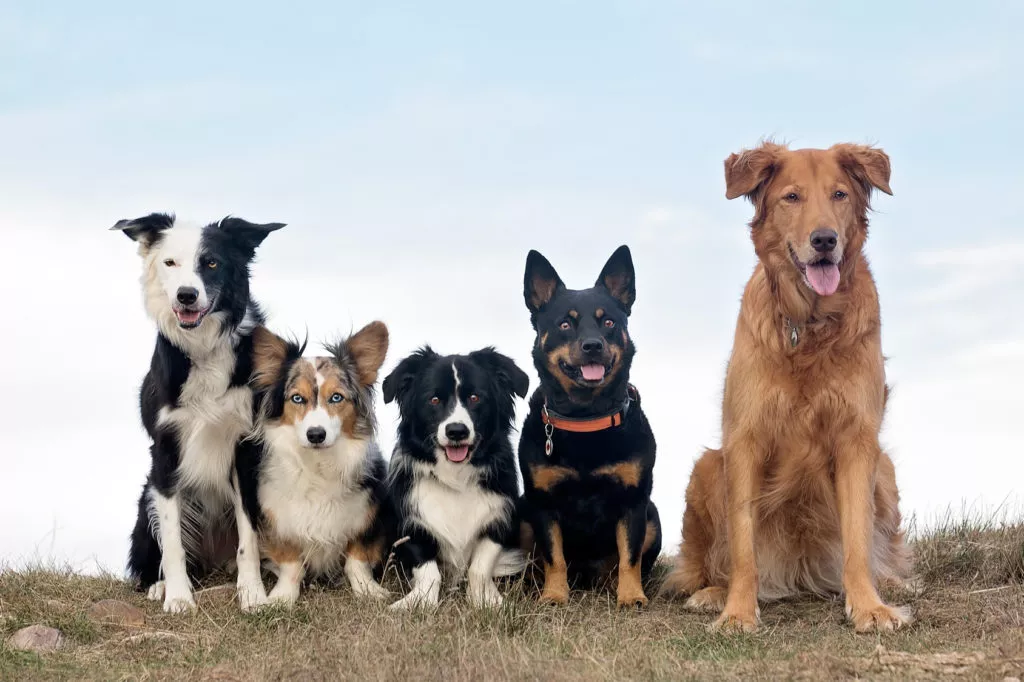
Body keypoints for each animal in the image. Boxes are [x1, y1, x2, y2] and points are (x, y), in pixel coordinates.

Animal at [116, 210, 284, 610]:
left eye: (211, 263)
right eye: (170, 263)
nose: (186, 295)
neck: (204, 347)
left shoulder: (244, 448)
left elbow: (248, 536)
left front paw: (252, 593)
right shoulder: (165, 450)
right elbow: (173, 541)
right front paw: (178, 598)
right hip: (147, 498)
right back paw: (160, 585)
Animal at [241, 321, 393, 602]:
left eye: (336, 397)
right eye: (297, 398)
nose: (316, 434)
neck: (318, 463)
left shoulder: (368, 517)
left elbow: (356, 560)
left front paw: (368, 590)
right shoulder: (279, 521)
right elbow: (291, 564)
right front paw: (281, 598)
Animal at [382, 346, 528, 606]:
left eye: (475, 398)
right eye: (434, 399)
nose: (457, 431)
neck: (456, 477)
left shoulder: (498, 518)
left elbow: (480, 566)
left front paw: (486, 601)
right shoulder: (413, 522)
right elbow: (428, 570)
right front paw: (419, 603)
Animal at [520, 244, 663, 606]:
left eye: (609, 321)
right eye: (565, 324)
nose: (593, 345)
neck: (585, 419)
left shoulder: (633, 501)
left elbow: (630, 555)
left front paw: (631, 596)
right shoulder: (543, 503)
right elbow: (553, 555)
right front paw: (554, 595)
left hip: (653, 515)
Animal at [663, 139, 913, 630]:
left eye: (839, 195)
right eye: (791, 197)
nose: (824, 240)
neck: (809, 322)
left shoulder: (857, 438)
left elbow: (858, 538)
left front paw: (869, 606)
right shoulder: (744, 439)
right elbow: (743, 544)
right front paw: (738, 612)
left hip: (886, 470)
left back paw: (890, 582)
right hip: (707, 467)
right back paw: (712, 593)